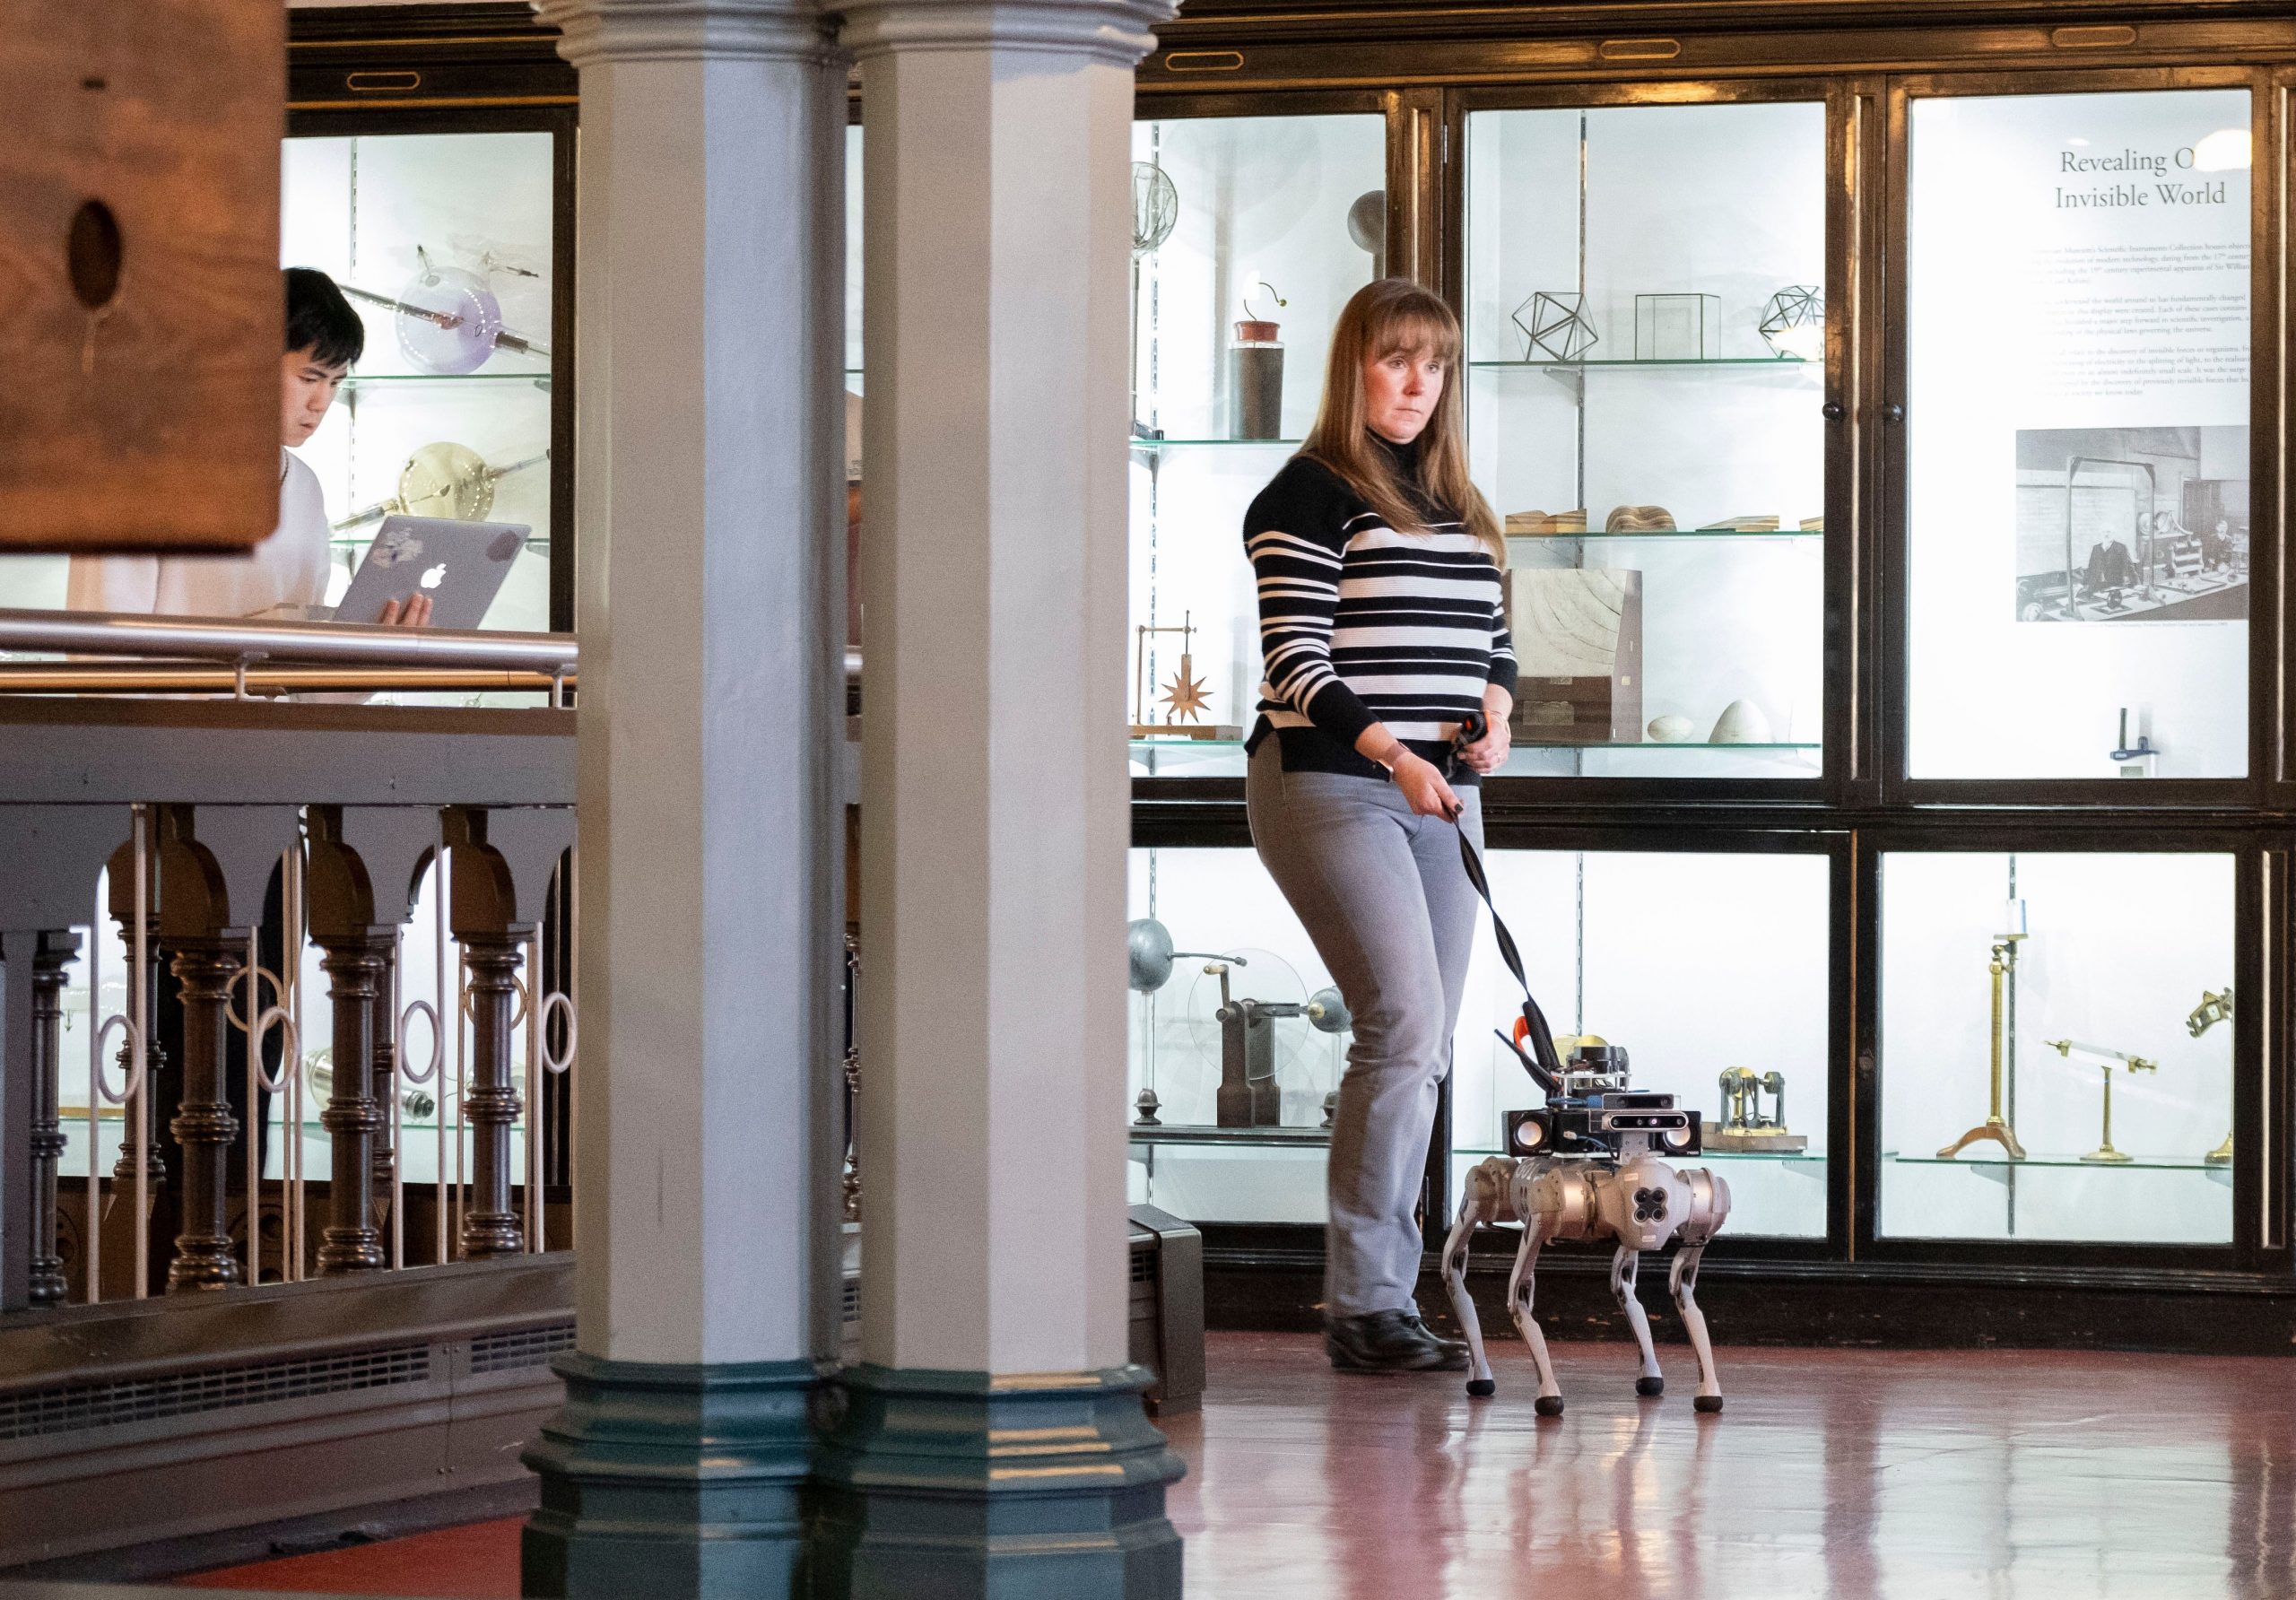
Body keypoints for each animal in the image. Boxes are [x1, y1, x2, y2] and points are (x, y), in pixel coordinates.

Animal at [1441, 798, 1726, 1413]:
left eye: (1672, 1126)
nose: (1652, 1199)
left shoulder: (1703, 1207)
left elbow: (1675, 1293)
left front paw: (1705, 1388)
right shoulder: (1543, 1212)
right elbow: (1518, 1297)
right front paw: (1548, 1392)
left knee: (1625, 1284)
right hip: (1482, 1187)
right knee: (1455, 1264)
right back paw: (1480, 1375)